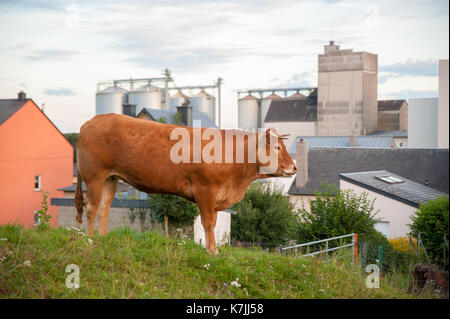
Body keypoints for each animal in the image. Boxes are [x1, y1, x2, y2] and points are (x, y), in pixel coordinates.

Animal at [75, 112, 298, 255]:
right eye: (277, 147)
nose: (294, 167)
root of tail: (91, 121)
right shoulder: (205, 190)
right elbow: (208, 222)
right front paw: (212, 251)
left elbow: (213, 222)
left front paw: (212, 248)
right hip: (94, 177)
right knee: (92, 208)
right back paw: (91, 238)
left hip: (110, 179)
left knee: (104, 208)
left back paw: (104, 238)